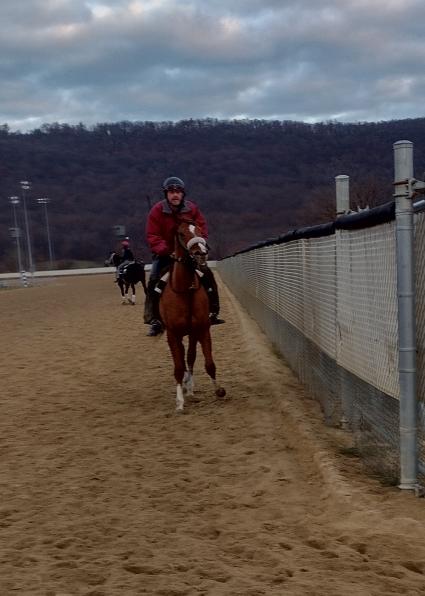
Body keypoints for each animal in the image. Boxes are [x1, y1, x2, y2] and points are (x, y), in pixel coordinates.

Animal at [159, 221, 225, 412]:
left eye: (200, 230)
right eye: (181, 233)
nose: (200, 253)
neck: (185, 291)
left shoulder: (202, 329)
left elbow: (209, 363)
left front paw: (218, 389)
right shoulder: (172, 334)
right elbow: (178, 367)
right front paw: (179, 402)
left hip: (192, 333)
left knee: (190, 356)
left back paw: (189, 387)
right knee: (183, 357)